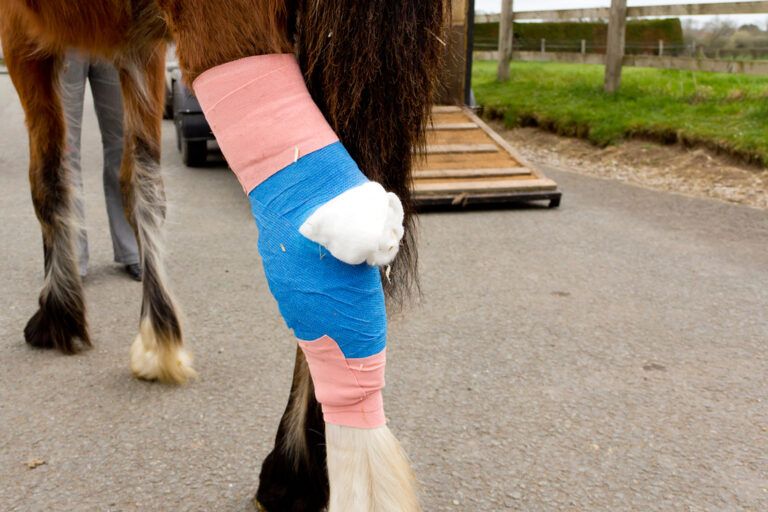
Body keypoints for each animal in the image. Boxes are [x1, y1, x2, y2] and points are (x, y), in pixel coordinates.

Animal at [0, 0, 444, 510]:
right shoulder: (140, 48)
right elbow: (142, 182)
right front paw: (159, 339)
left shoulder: (23, 39)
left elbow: (48, 180)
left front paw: (59, 313)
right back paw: (306, 470)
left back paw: (312, 475)